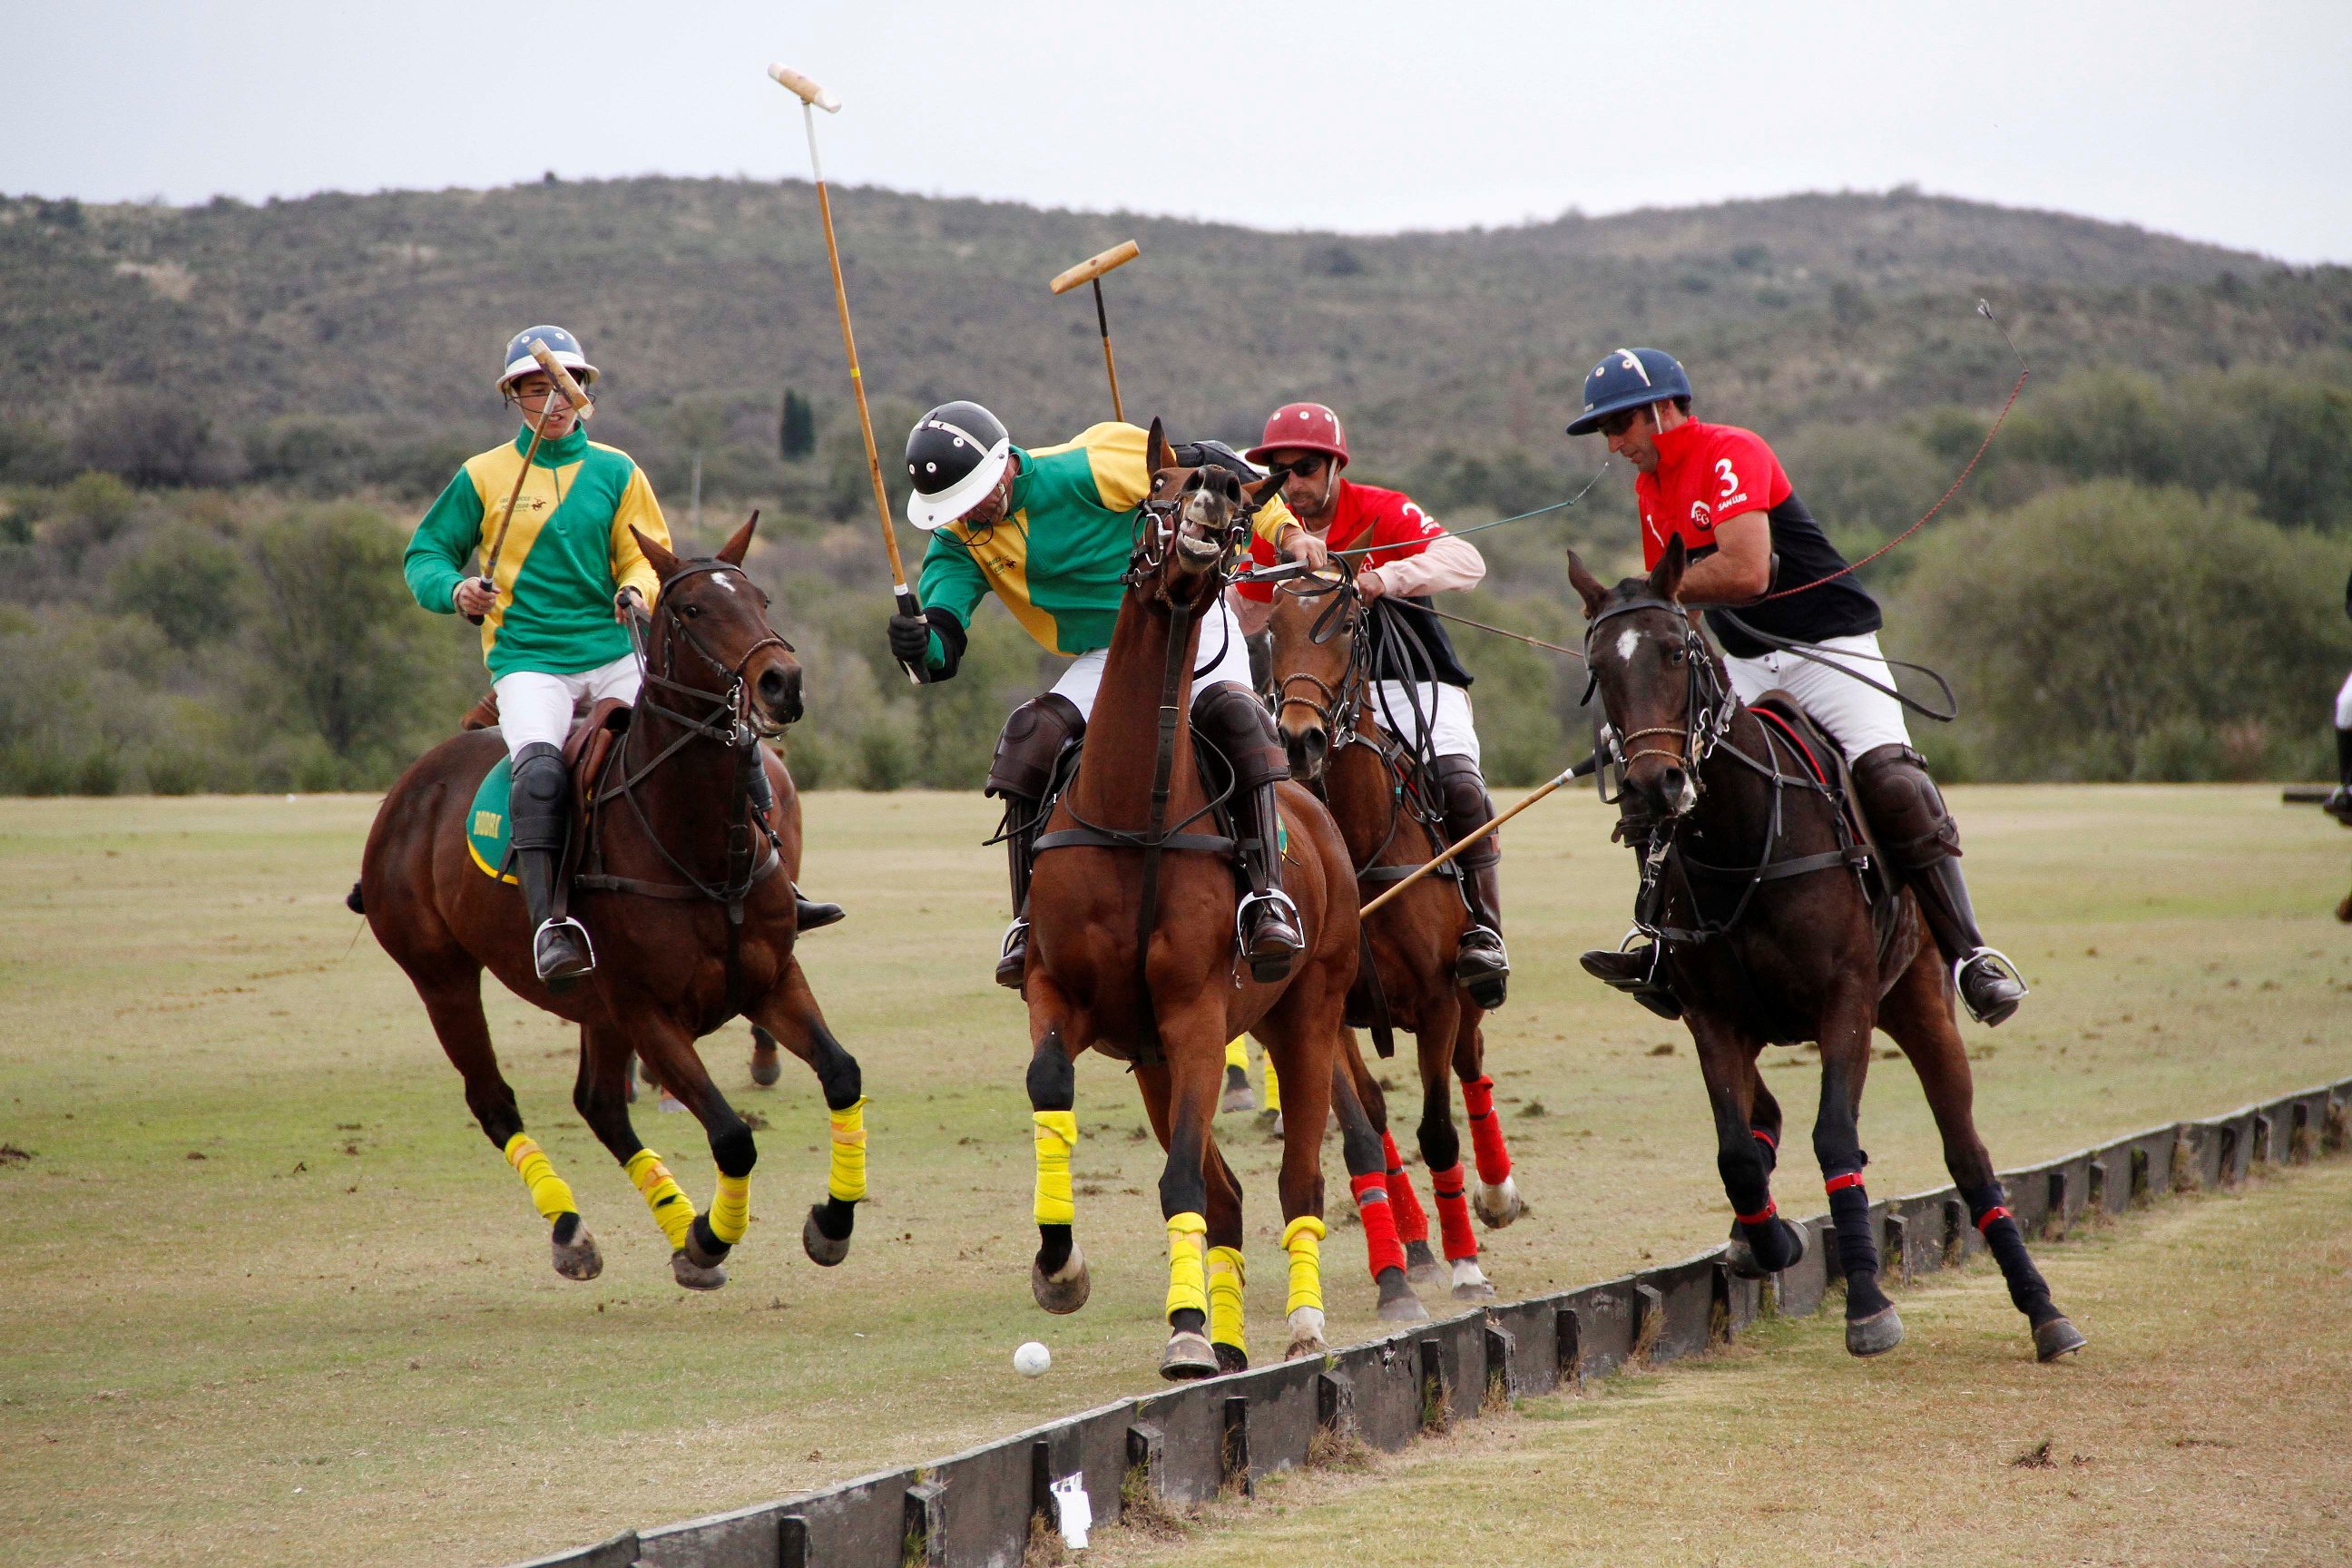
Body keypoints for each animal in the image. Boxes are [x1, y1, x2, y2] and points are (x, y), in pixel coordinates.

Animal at [348, 522, 865, 1298]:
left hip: (594, 1008)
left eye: (760, 599)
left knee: (598, 1105)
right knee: (494, 1101)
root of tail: (409, 788)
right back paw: (574, 1232)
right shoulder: (649, 1011)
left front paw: (828, 1224)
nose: (782, 681)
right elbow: (732, 1137)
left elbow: (841, 1074)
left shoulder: (770, 981)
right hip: (441, 976)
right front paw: (711, 1238)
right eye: (691, 611)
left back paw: (671, 1228)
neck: (699, 849)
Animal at [1015, 423, 1364, 1382]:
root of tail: (1315, 812)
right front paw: (1060, 1267)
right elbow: (1049, 1084)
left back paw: (1301, 1326)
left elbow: (1179, 1178)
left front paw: (1183, 1335)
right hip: (1153, 1061)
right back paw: (1231, 1335)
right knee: (1233, 1192)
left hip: (1307, 1014)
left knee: (1295, 1179)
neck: (1136, 815)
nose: (1214, 489)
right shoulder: (1062, 992)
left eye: (1244, 505)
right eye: (1156, 491)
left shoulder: (1198, 1014)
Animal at [1269, 566, 1524, 1316]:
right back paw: (1416, 1246)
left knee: (1472, 1068)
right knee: (1380, 1117)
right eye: (1272, 629)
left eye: (1350, 625)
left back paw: (1495, 1196)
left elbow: (1437, 1131)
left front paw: (1467, 1266)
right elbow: (1361, 1133)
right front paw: (1399, 1275)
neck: (1358, 846)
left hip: (1468, 995)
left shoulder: (1438, 1004)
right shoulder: (1322, 1014)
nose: (1300, 739)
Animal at [1571, 545, 2088, 1363]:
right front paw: (1772, 1241)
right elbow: (1736, 1153)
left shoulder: (1845, 998)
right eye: (1597, 666)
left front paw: (1869, 1305)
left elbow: (1837, 1139)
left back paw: (2045, 1312)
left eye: (1676, 651)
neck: (1745, 840)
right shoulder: (1712, 1016)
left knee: (1968, 1158)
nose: (1652, 788)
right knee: (1767, 1117)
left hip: (1917, 998)